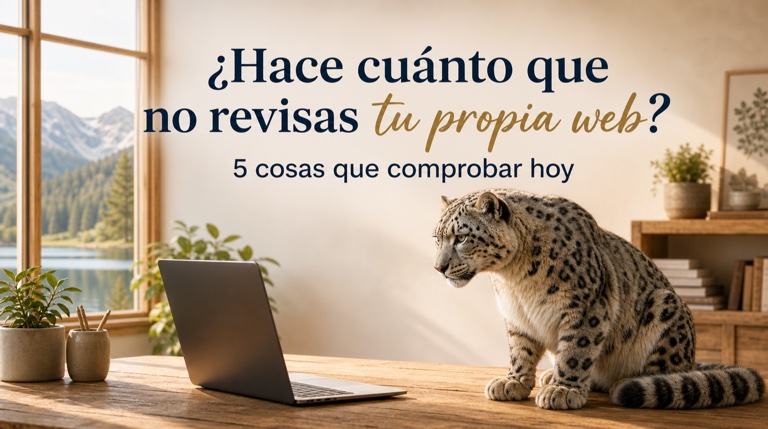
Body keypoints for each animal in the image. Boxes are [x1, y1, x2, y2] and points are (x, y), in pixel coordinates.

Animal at [432, 189, 765, 409]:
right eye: (437, 238)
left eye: (461, 237)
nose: (439, 267)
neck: (512, 280)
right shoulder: (517, 316)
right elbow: (520, 350)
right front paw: (513, 382)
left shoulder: (584, 308)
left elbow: (576, 350)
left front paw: (564, 391)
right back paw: (550, 376)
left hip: (666, 307)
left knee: (665, 371)